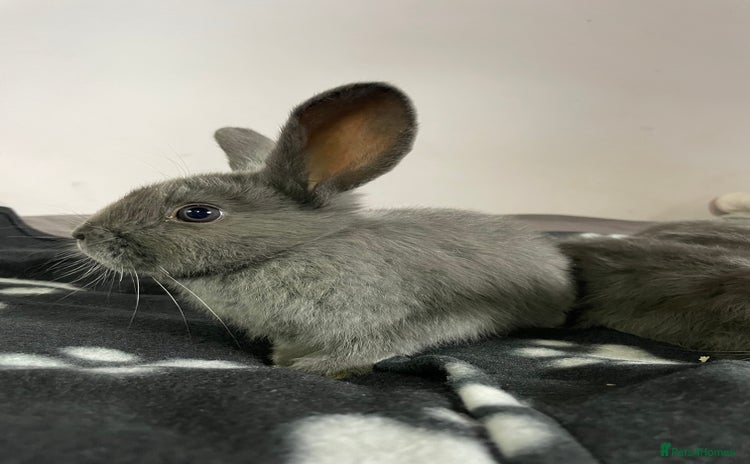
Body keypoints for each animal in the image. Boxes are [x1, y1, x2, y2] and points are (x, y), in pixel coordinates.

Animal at [72, 82, 575, 376]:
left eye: (197, 213)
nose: (82, 234)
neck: (294, 251)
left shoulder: (402, 318)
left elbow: (368, 347)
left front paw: (303, 366)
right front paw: (281, 355)